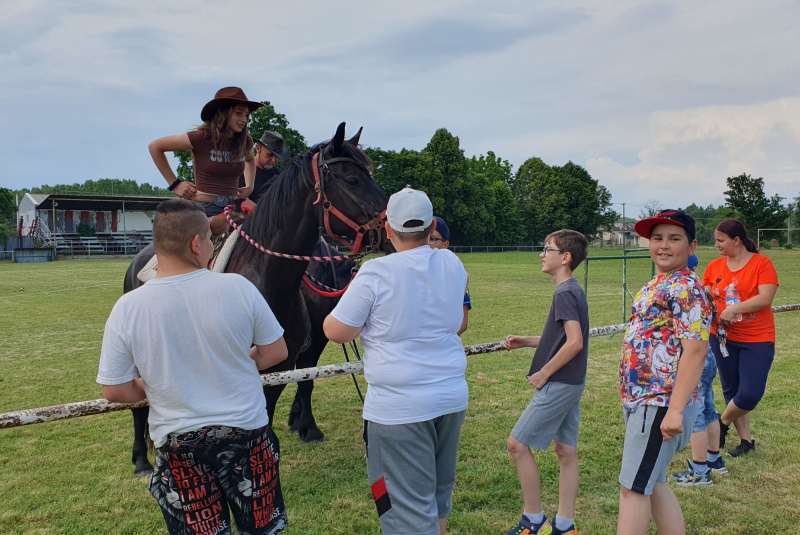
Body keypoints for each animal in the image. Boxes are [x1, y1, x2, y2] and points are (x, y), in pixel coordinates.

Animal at [122, 124, 394, 478]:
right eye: (352, 180)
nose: (392, 227)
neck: (264, 282)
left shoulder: (283, 365)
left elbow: (294, 396)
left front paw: (303, 428)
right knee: (137, 406)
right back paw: (142, 459)